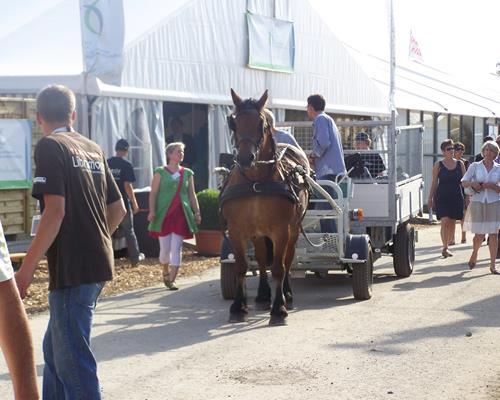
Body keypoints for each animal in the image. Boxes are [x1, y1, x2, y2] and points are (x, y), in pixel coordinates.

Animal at [221, 88, 310, 324]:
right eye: (234, 123)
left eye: (261, 124)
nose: (245, 158)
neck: (255, 182)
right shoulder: (236, 230)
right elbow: (242, 266)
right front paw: (238, 306)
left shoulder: (281, 230)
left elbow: (279, 267)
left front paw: (279, 307)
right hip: (258, 232)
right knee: (261, 259)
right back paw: (262, 295)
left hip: (293, 229)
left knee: (287, 259)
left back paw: (286, 293)